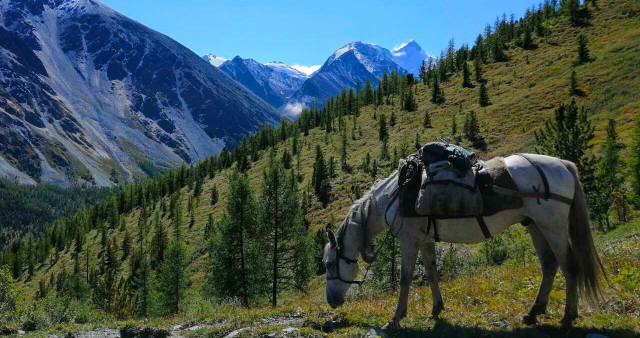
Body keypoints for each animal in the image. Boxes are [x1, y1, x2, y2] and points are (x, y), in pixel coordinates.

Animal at [324, 154, 604, 328]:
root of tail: (562, 164)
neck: (396, 194)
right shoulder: (425, 240)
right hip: (534, 225)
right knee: (549, 265)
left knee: (569, 266)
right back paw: (533, 313)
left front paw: (396, 318)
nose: (331, 302)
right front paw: (436, 310)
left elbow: (404, 279)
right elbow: (432, 274)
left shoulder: (409, 239)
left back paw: (568, 316)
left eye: (328, 264)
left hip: (552, 225)